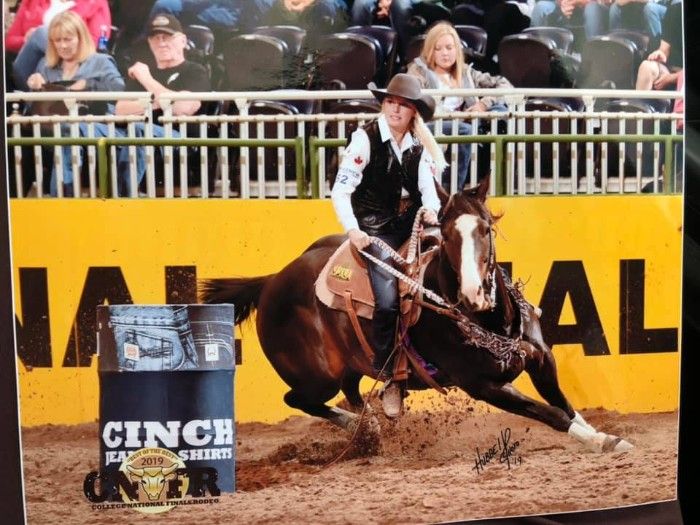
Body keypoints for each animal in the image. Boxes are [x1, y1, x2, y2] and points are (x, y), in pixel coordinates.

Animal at [200, 178, 632, 453]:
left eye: (485, 229)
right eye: (448, 233)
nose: (474, 294)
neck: (488, 322)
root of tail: (272, 281)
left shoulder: (542, 359)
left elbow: (566, 405)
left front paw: (603, 435)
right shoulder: (483, 385)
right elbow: (550, 413)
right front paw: (599, 442)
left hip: (351, 365)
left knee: (352, 390)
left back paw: (372, 422)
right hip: (315, 377)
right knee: (299, 399)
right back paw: (361, 427)